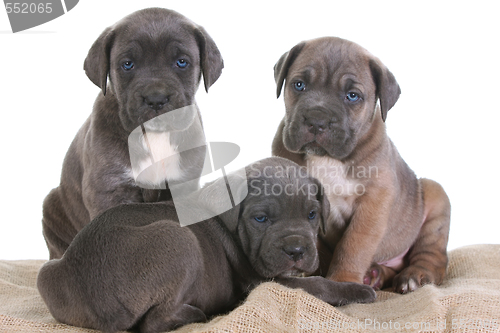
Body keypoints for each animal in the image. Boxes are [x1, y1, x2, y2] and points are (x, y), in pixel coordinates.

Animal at [38, 156, 376, 332]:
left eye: (312, 215)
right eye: (261, 219)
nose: (296, 251)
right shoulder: (263, 281)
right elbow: (318, 285)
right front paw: (358, 291)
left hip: (48, 271)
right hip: (179, 238)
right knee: (155, 321)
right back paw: (201, 314)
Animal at [43, 6, 223, 258]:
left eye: (181, 62)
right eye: (127, 64)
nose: (156, 98)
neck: (155, 136)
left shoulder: (183, 184)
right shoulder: (109, 190)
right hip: (51, 206)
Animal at [272, 36, 452, 292]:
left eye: (352, 96)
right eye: (299, 85)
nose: (317, 120)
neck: (328, 158)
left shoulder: (373, 202)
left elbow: (354, 244)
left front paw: (342, 281)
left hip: (434, 196)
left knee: (432, 258)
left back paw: (414, 276)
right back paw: (374, 275)